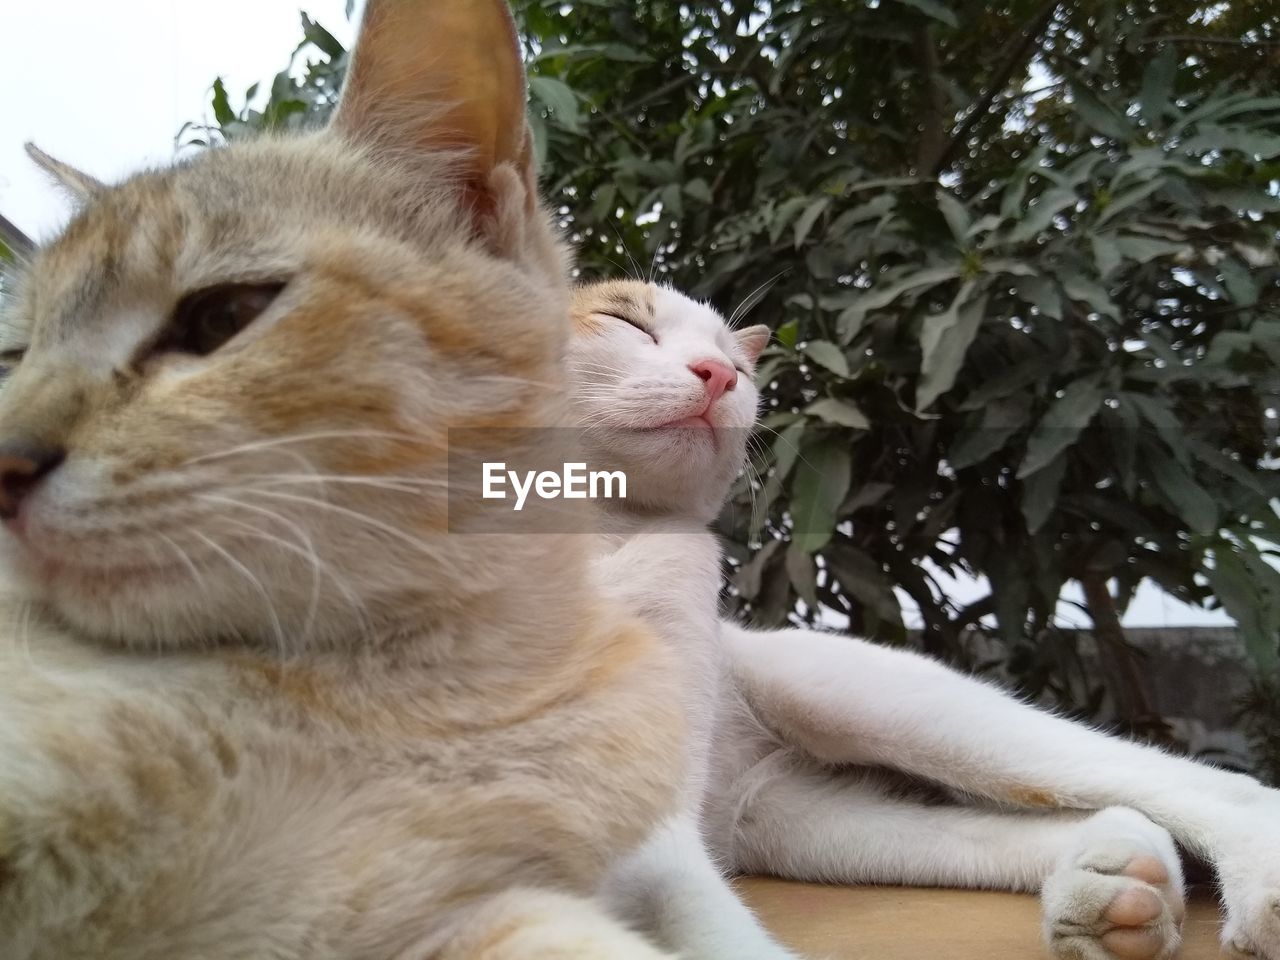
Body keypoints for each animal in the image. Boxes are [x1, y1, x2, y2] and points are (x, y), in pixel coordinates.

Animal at [573, 277, 1280, 960]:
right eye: (628, 321)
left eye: (740, 368)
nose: (719, 373)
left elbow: (709, 930)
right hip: (798, 825)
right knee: (1085, 817)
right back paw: (1115, 884)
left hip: (862, 702)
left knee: (1197, 783)